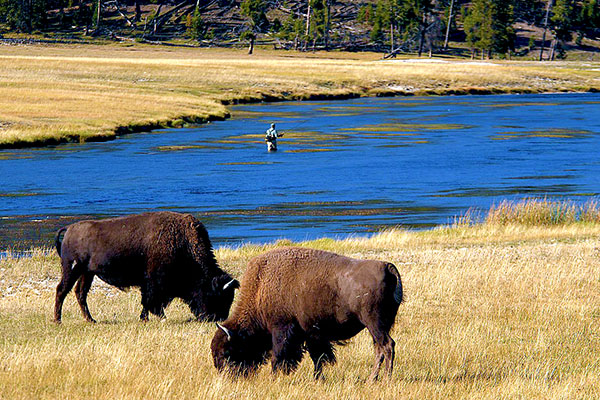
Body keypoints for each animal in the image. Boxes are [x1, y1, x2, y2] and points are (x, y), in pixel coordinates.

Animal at [52, 211, 239, 324]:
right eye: (217, 296)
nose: (218, 318)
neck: (183, 243)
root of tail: (69, 229)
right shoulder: (153, 282)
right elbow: (150, 300)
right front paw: (157, 317)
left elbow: (147, 302)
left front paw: (145, 318)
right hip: (72, 269)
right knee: (62, 290)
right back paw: (58, 320)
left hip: (87, 273)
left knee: (80, 293)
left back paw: (91, 320)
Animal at [211, 247, 404, 382]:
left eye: (227, 352)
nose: (226, 377)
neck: (261, 287)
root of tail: (386, 266)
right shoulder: (311, 334)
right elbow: (317, 357)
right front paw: (318, 378)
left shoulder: (282, 330)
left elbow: (279, 356)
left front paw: (274, 377)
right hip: (378, 326)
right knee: (379, 348)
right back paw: (373, 379)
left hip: (374, 324)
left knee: (387, 346)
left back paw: (384, 379)